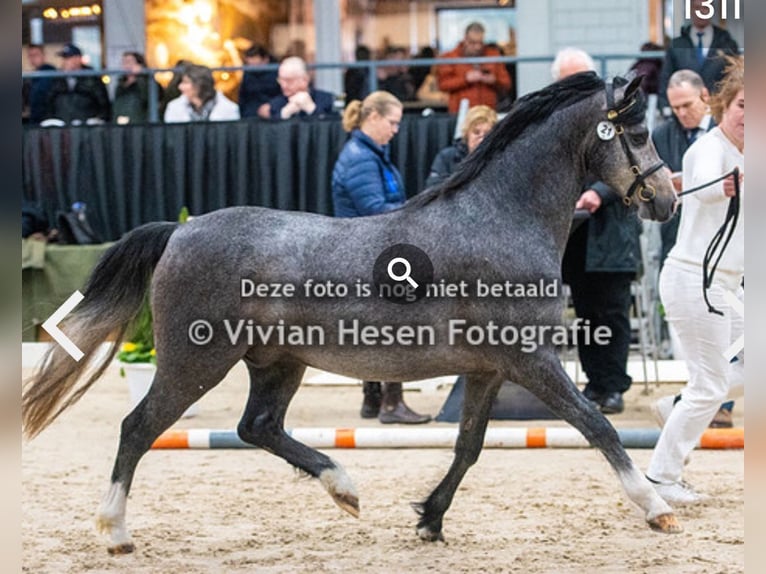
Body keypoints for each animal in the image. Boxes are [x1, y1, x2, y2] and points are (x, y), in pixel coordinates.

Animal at [24, 73, 680, 560]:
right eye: (638, 131)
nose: (667, 201)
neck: (499, 218)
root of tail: (179, 231)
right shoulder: (531, 359)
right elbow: (596, 426)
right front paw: (658, 510)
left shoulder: (488, 369)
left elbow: (468, 446)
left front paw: (430, 520)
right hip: (198, 359)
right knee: (139, 427)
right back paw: (116, 532)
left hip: (276, 362)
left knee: (256, 427)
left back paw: (344, 488)